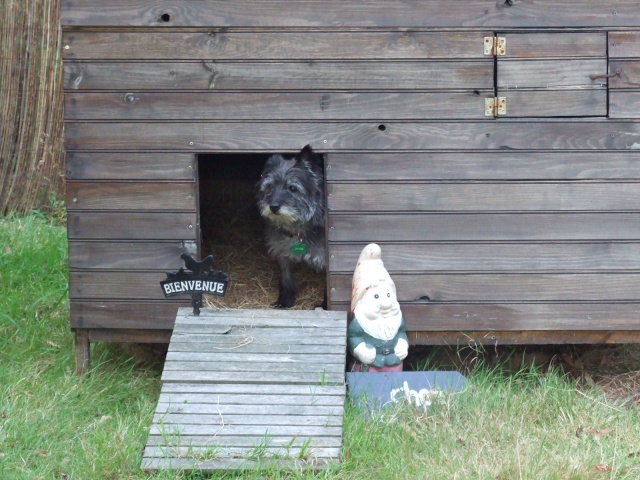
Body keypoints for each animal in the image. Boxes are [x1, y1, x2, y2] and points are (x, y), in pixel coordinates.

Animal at [255, 144, 324, 308]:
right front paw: (285, 301)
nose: (273, 207)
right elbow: (286, 278)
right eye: (270, 187)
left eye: (292, 188)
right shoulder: (282, 253)